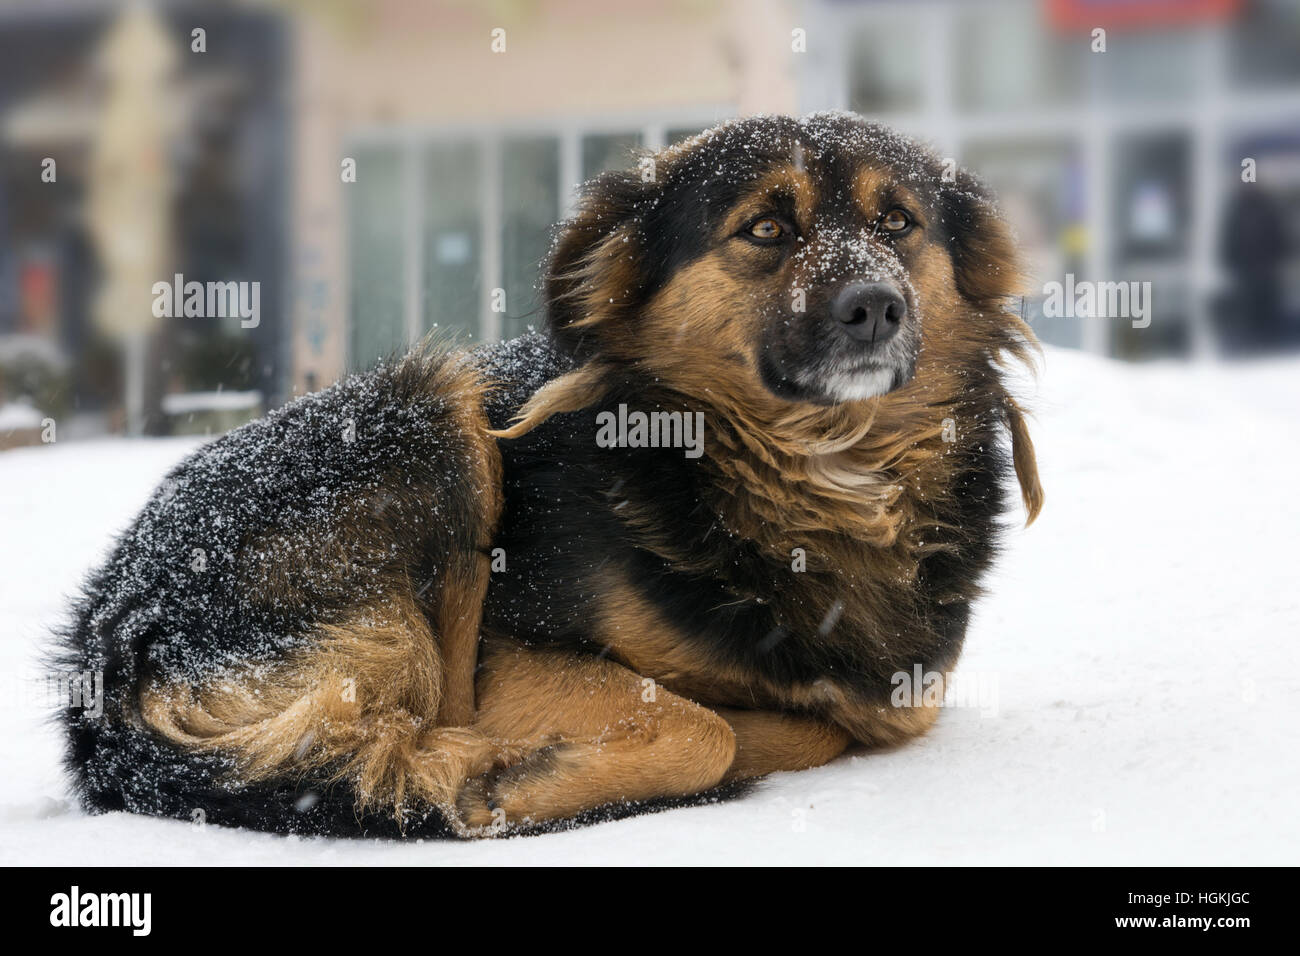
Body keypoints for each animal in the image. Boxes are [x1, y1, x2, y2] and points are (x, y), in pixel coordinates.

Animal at [55, 115, 1040, 837]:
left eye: (897, 223)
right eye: (765, 228)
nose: (875, 307)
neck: (818, 472)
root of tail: (105, 662)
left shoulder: (904, 700)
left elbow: (824, 720)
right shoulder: (516, 652)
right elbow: (705, 730)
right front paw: (521, 776)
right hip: (433, 416)